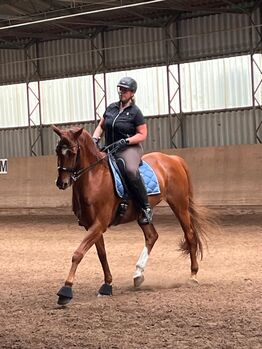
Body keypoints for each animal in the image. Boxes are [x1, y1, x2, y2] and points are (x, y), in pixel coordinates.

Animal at [52, 125, 209, 304]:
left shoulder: (99, 224)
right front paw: (107, 285)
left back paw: (193, 275)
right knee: (152, 236)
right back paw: (138, 274)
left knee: (189, 235)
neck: (94, 177)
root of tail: (174, 159)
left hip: (179, 205)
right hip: (143, 214)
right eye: (57, 151)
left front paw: (66, 290)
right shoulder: (91, 226)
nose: (62, 183)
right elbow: (102, 255)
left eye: (72, 152)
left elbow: (78, 254)